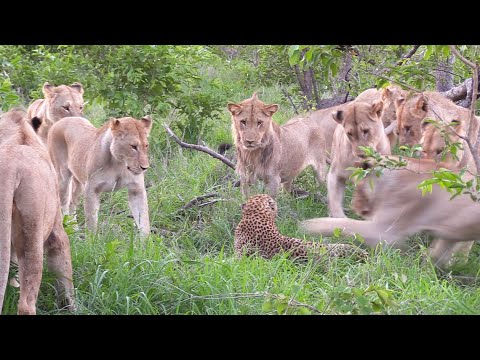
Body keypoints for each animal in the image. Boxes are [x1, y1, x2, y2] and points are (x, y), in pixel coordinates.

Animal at [0, 108, 74, 314]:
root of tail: (12, 167)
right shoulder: (57, 229)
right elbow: (64, 274)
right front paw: (69, 307)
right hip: (32, 233)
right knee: (27, 304)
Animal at [300, 156, 480, 268]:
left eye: (358, 187)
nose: (354, 207)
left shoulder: (384, 231)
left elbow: (342, 224)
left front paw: (307, 226)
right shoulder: (449, 236)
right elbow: (436, 256)